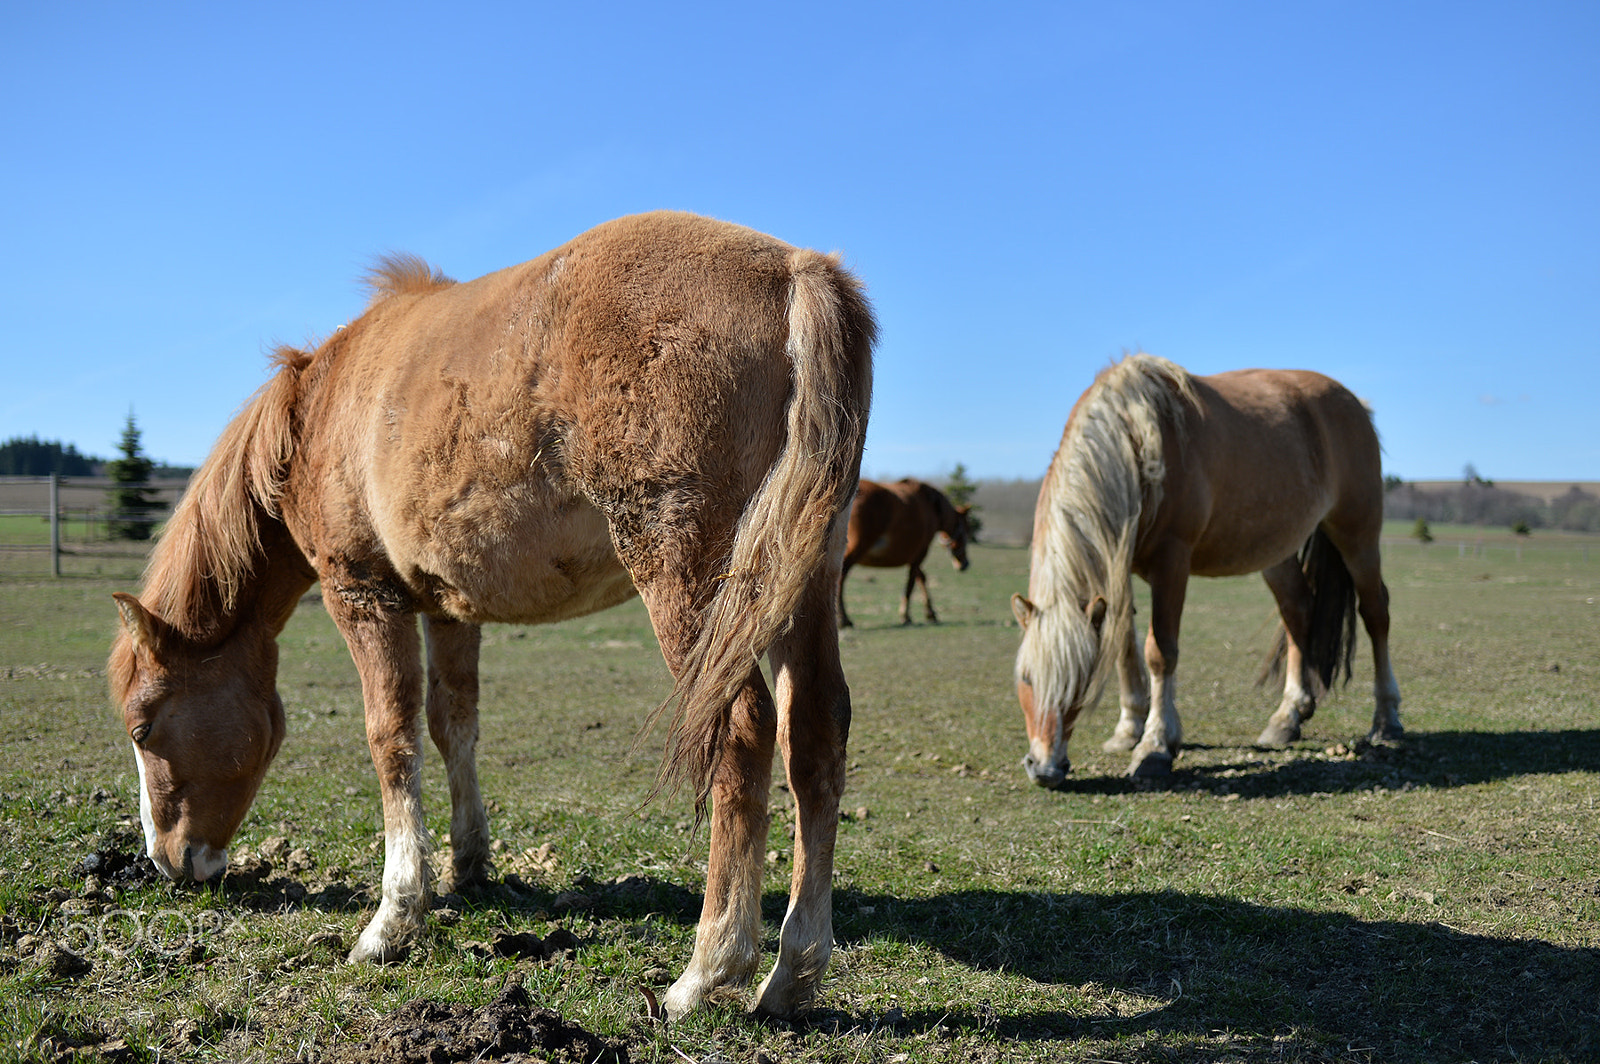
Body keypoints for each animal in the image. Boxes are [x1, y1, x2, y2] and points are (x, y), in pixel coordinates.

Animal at [106, 211, 876, 1017]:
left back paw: (708, 969)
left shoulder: (363, 594)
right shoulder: (447, 606)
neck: (317, 413)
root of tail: (797, 270)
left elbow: (391, 738)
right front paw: (467, 864)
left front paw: (391, 920)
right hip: (798, 580)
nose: (166, 862)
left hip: (690, 577)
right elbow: (454, 724)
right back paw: (792, 973)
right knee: (814, 735)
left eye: (142, 727)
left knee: (740, 733)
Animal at [838, 480, 972, 627]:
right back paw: (844, 619)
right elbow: (911, 584)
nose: (965, 563)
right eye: (966, 530)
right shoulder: (920, 554)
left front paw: (930, 613)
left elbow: (921, 578)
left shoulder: (915, 557)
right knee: (840, 579)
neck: (932, 507)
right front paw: (906, 615)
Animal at [1011, 352, 1401, 784]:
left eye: (1079, 681)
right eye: (1025, 677)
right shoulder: (1118, 567)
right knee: (1297, 611)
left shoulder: (1172, 562)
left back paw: (1386, 719)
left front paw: (1155, 746)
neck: (1135, 442)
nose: (1044, 767)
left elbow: (1160, 651)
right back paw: (1287, 717)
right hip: (1277, 551)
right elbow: (1123, 646)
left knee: (1375, 613)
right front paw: (1128, 729)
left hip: (1357, 534)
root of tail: (1354, 403)